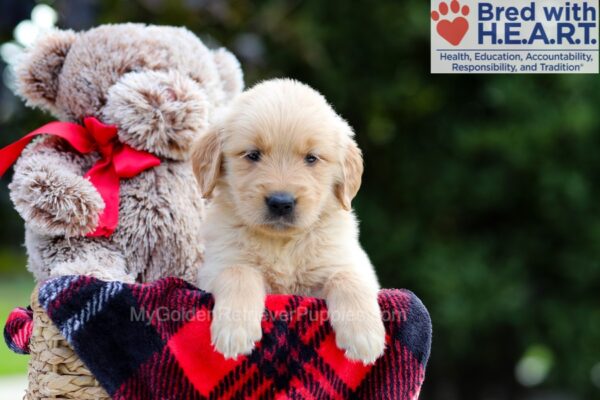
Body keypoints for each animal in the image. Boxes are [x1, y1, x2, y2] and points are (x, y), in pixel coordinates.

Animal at [195, 79, 386, 366]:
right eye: (252, 155)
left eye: (311, 158)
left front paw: (364, 335)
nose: (281, 202)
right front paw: (235, 330)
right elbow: (238, 272)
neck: (282, 243)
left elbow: (348, 277)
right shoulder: (216, 265)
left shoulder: (345, 261)